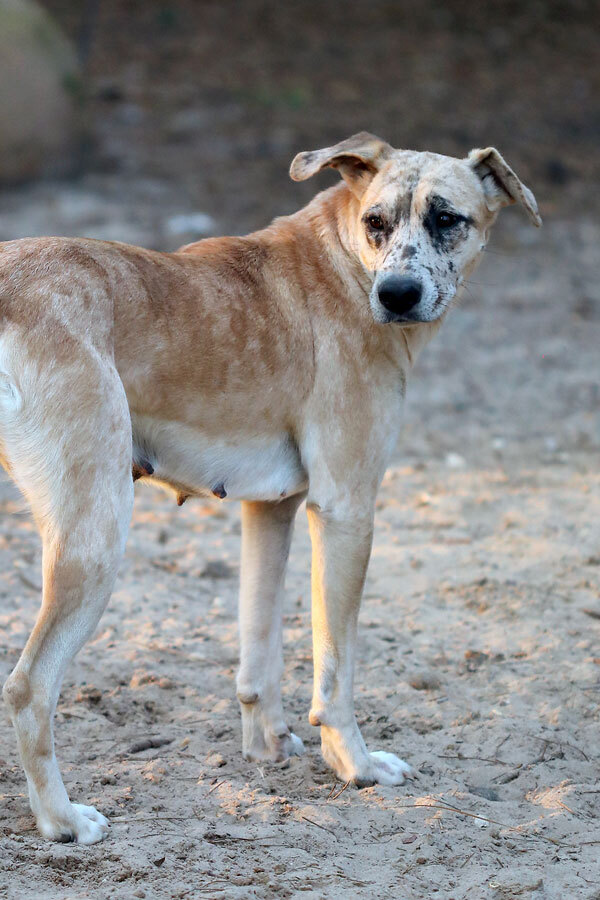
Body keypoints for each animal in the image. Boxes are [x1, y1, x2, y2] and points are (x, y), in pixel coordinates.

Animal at [0, 134, 540, 844]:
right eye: (377, 222)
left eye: (447, 219)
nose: (396, 295)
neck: (345, 264)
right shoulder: (345, 510)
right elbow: (335, 668)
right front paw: (355, 765)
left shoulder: (269, 509)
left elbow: (260, 652)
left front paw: (269, 748)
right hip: (95, 539)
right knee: (29, 687)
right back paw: (61, 820)